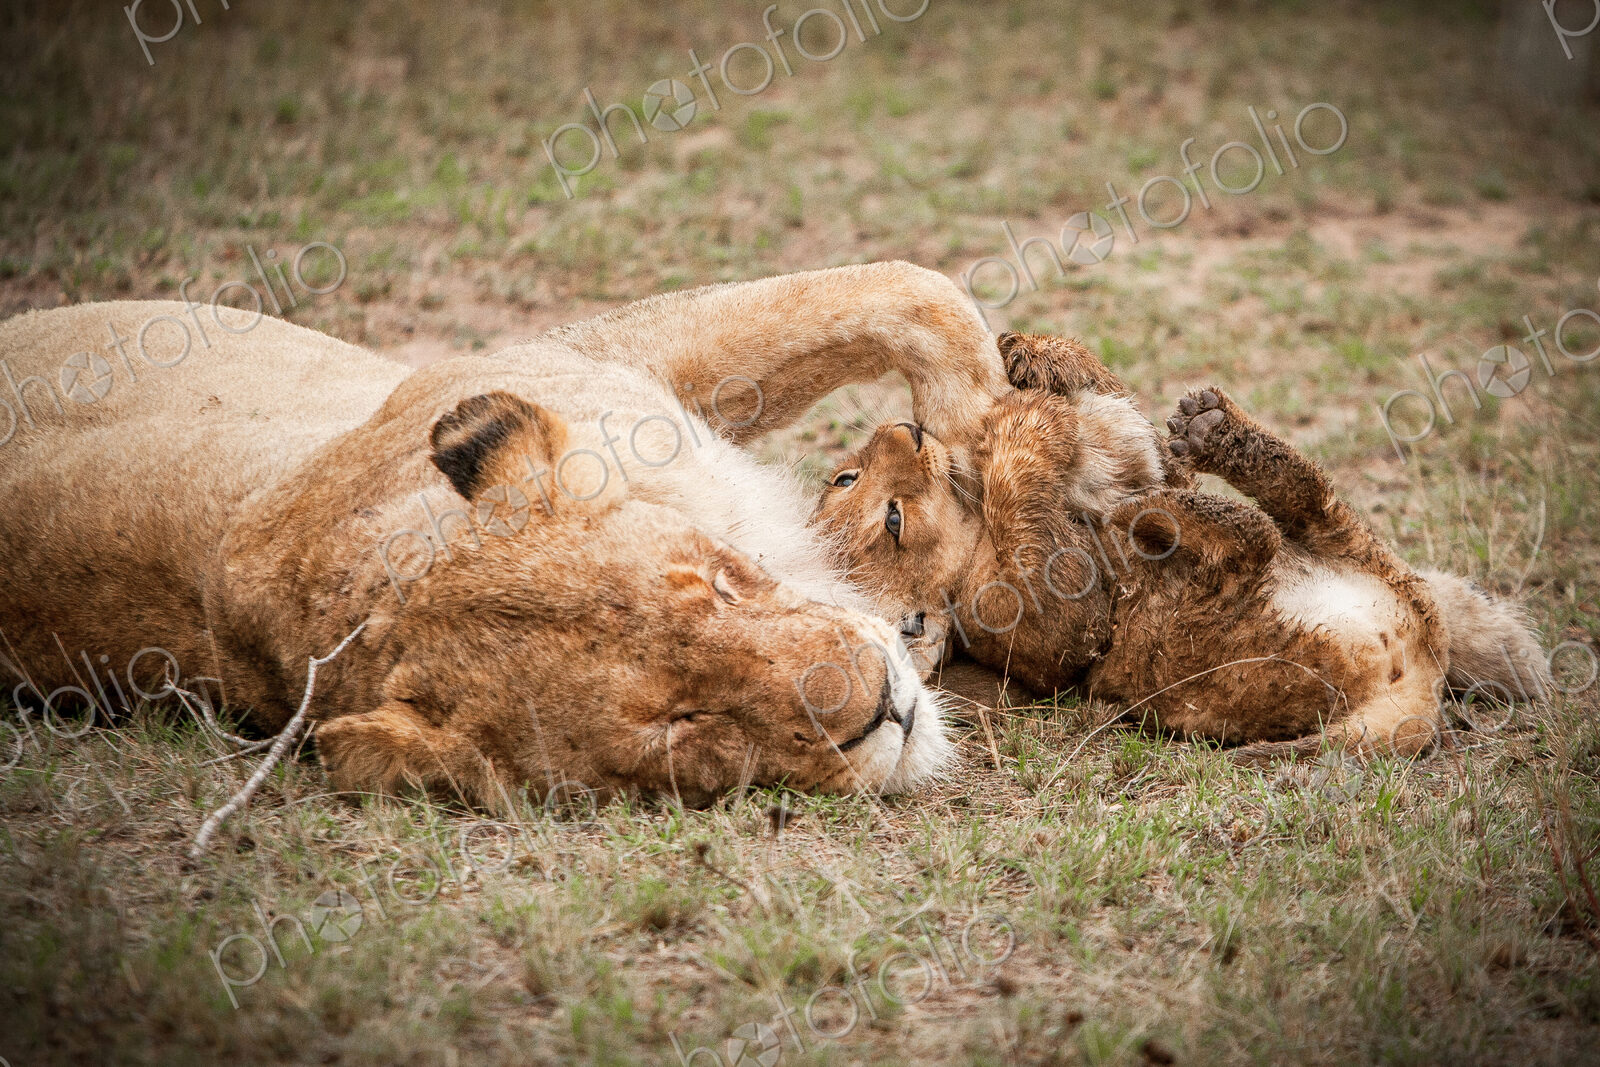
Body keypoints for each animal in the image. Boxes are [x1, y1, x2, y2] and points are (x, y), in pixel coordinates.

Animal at [0, 262, 1012, 805]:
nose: (881, 704)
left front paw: (984, 437)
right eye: (682, 724)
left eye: (720, 580)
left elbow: (914, 296)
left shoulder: (604, 363)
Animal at [813, 331, 1552, 756]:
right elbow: (1036, 531)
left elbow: (1124, 420)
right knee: (1253, 538)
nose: (903, 429)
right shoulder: (1053, 626)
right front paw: (1025, 420)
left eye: (842, 475)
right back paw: (1164, 512)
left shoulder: (1146, 464)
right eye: (891, 521)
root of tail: (1420, 673)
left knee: (1299, 497)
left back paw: (1211, 431)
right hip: (1232, 624)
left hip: (1355, 548)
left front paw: (1034, 353)